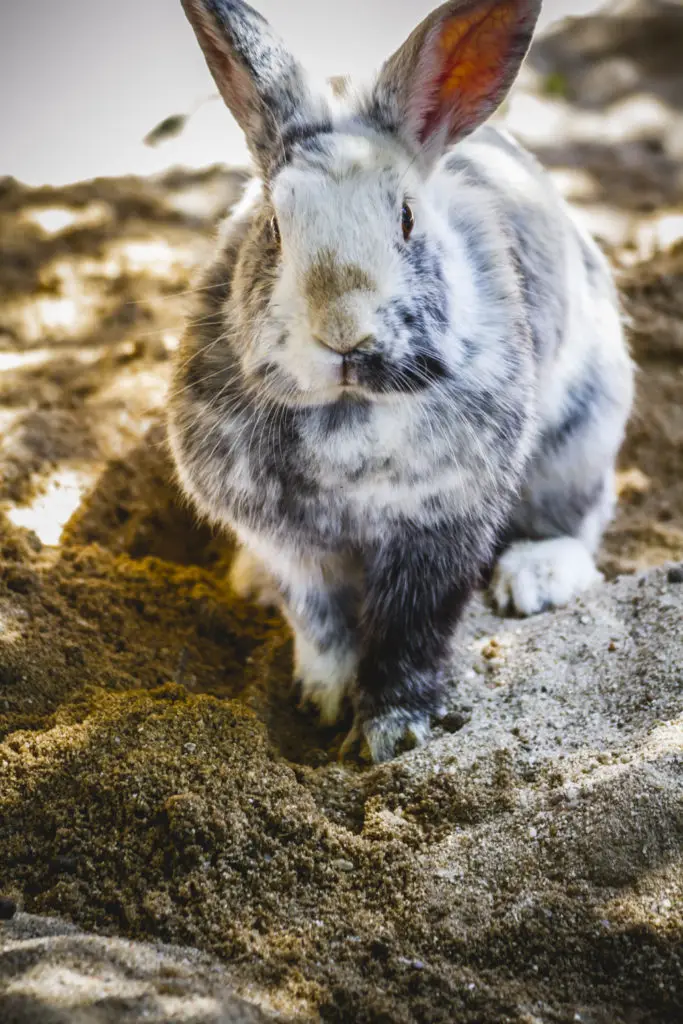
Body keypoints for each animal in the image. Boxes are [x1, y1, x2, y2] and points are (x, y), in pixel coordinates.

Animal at [166, 0, 634, 765]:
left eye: (407, 219)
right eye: (273, 226)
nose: (343, 332)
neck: (349, 409)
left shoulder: (441, 527)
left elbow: (413, 630)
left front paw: (390, 732)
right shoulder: (291, 542)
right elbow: (321, 624)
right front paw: (321, 705)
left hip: (583, 435)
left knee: (579, 518)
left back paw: (535, 577)